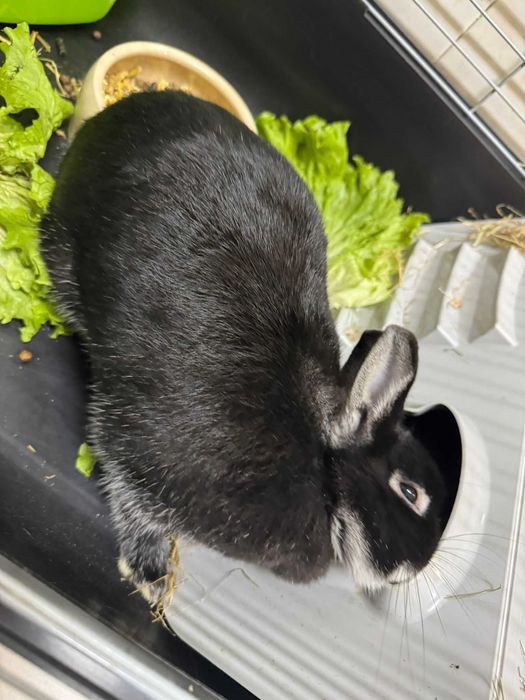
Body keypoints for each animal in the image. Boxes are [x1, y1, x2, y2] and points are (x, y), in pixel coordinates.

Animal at [40, 90, 445, 606]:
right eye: (409, 492)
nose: (411, 572)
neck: (319, 459)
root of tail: (111, 121)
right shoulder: (140, 456)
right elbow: (131, 499)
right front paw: (150, 575)